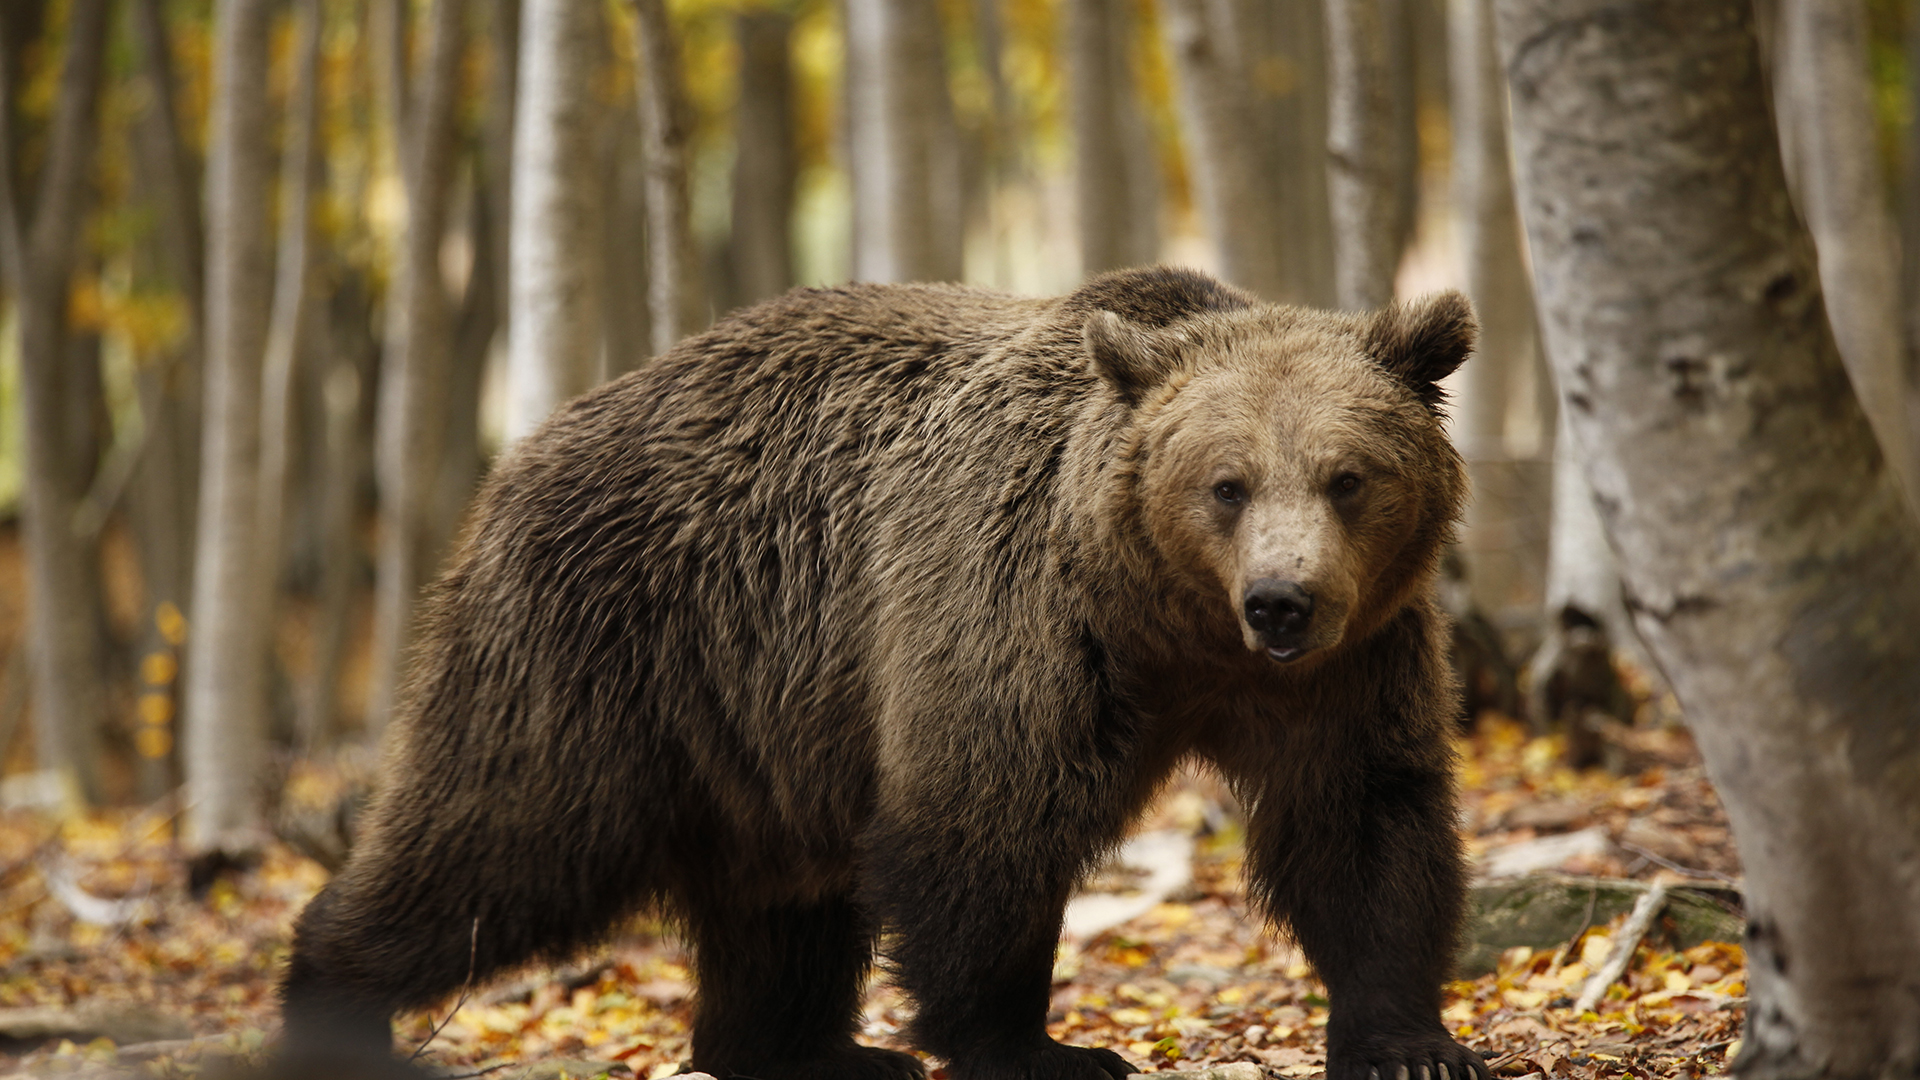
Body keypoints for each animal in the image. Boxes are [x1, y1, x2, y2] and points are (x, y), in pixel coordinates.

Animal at [280, 265, 1482, 1076]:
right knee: (502, 841)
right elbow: (985, 821)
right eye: (1225, 483)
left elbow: (1359, 821)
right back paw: (331, 1001)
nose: (1281, 600)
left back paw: (811, 1053)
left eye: (1347, 476)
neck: (1167, 620)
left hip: (762, 725)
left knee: (782, 901)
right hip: (606, 647)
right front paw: (1039, 1048)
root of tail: (524, 450)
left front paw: (1411, 1040)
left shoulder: (1346, 667)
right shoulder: (1015, 614)